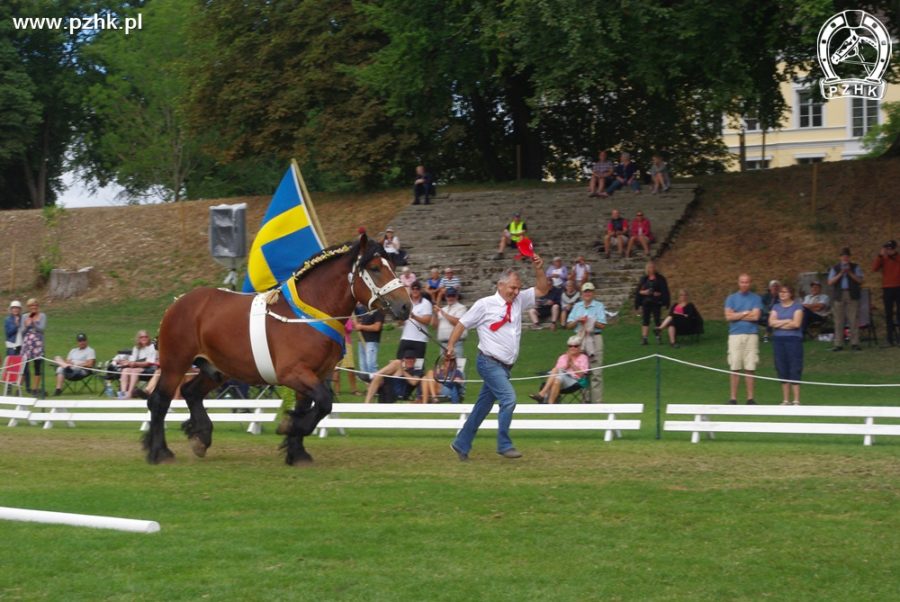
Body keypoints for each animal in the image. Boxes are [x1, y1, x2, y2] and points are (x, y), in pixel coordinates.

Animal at [142, 233, 410, 464]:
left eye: (392, 266)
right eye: (375, 268)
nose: (405, 306)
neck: (308, 315)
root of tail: (177, 303)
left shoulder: (315, 375)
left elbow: (310, 407)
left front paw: (297, 452)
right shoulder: (293, 373)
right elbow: (324, 403)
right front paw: (289, 427)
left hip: (217, 370)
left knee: (191, 392)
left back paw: (201, 437)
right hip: (176, 363)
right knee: (160, 401)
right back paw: (160, 452)